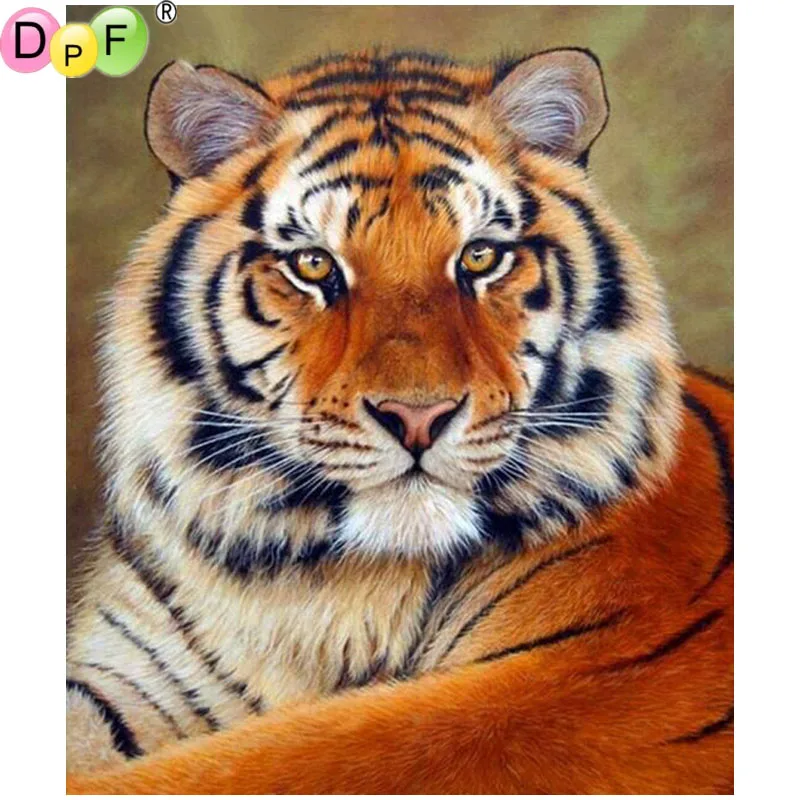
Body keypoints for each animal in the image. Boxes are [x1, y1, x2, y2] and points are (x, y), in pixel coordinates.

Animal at [66, 48, 733, 794]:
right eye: (313, 264)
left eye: (480, 255)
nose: (418, 417)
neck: (313, 586)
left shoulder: (571, 683)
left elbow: (286, 757)